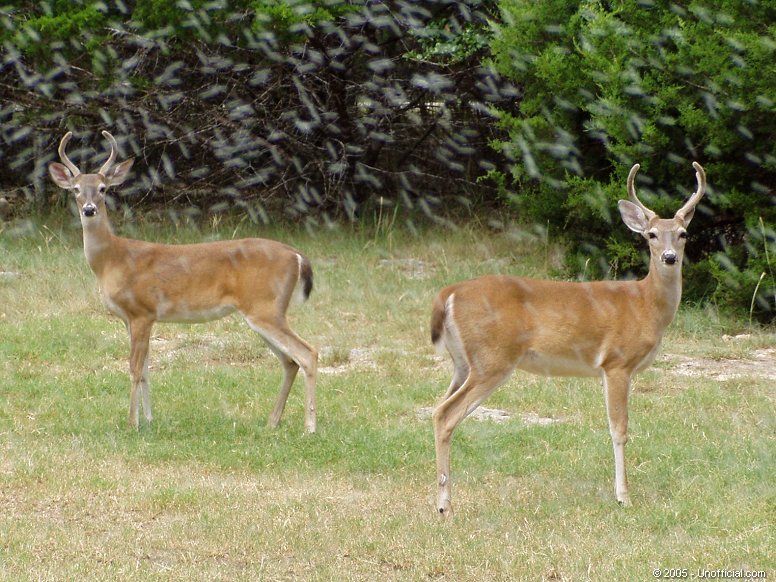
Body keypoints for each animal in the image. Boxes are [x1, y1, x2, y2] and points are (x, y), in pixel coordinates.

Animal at [49, 132, 318, 434]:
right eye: (75, 189)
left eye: (103, 188)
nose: (89, 209)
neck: (112, 260)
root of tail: (296, 255)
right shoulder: (132, 318)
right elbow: (146, 369)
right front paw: (149, 419)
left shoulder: (142, 312)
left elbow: (134, 368)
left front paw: (132, 422)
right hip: (263, 312)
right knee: (290, 361)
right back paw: (272, 422)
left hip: (265, 308)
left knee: (308, 353)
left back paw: (310, 426)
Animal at [430, 163, 708, 516]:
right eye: (652, 234)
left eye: (683, 233)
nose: (670, 257)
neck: (645, 305)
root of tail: (448, 294)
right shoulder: (616, 363)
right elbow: (619, 429)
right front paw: (623, 496)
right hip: (492, 358)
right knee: (446, 414)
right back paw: (445, 508)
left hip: (463, 363)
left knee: (436, 408)